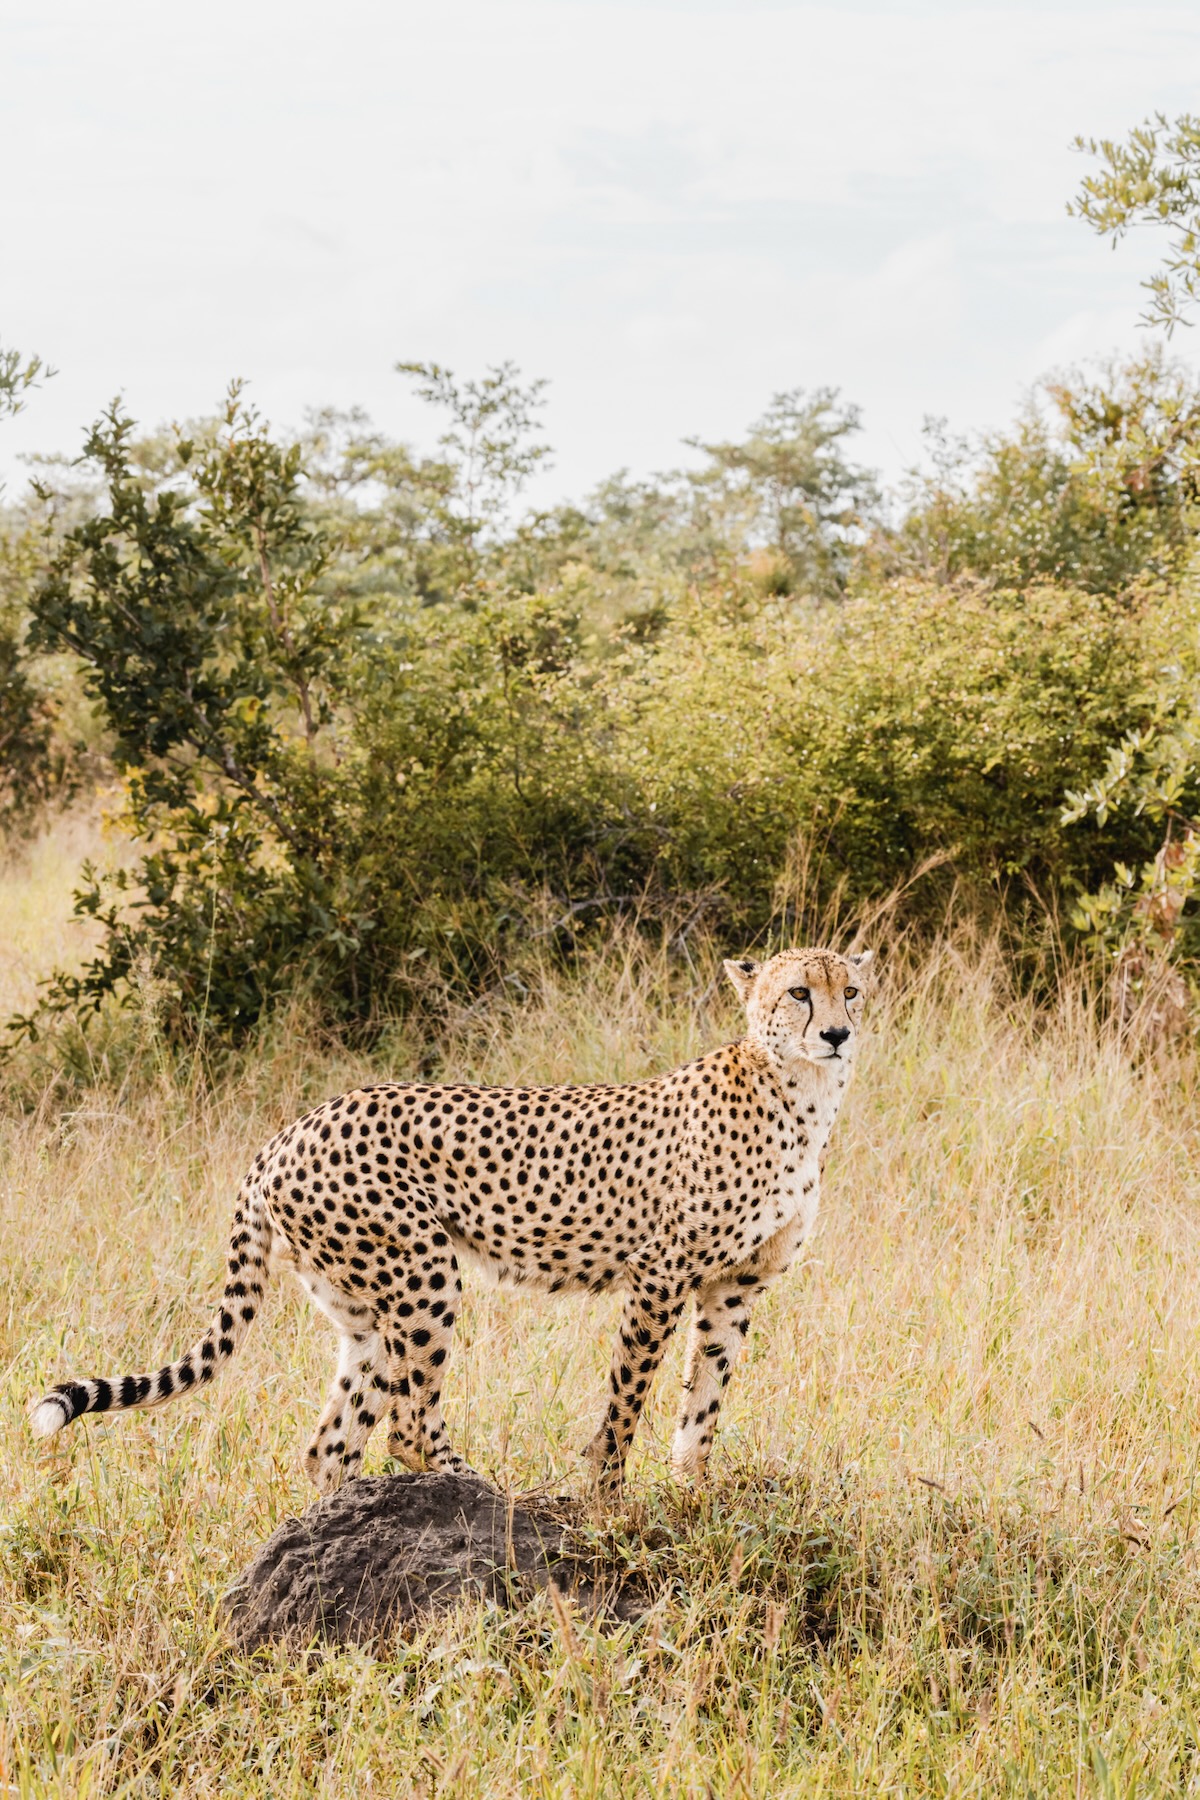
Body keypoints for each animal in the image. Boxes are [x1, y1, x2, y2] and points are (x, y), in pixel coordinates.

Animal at [30, 957, 874, 1490]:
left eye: (854, 991)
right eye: (799, 992)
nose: (837, 1034)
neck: (799, 1093)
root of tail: (292, 1127)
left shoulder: (735, 1284)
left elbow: (706, 1398)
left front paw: (695, 1492)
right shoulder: (660, 1272)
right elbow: (629, 1396)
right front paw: (607, 1496)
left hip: (365, 1309)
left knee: (331, 1444)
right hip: (422, 1271)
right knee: (407, 1425)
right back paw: (487, 1492)